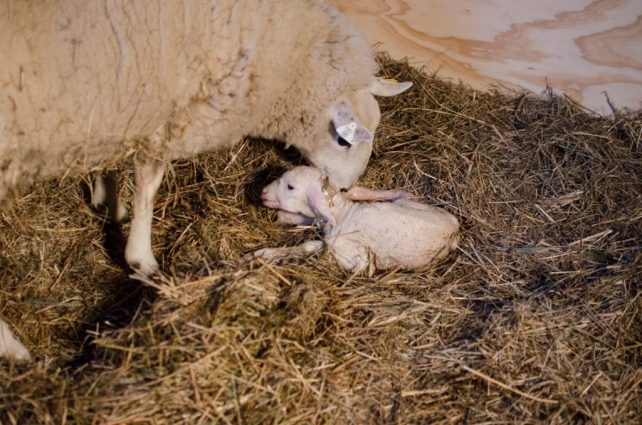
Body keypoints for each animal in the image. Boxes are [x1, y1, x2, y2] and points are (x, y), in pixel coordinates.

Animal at [0, 0, 412, 361]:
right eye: (343, 140)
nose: (342, 191)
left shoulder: (119, 104)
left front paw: (108, 199)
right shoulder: (164, 112)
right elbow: (149, 183)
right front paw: (142, 259)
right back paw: (14, 350)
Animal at [248, 166, 460, 274]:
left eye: (290, 187)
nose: (263, 192)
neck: (341, 214)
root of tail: (455, 229)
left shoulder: (353, 257)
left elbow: (309, 246)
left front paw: (260, 255)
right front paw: (285, 216)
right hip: (409, 204)